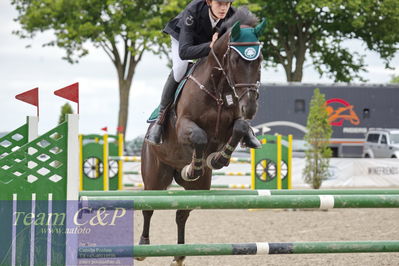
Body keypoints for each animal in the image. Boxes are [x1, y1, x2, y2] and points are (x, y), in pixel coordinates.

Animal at [138, 7, 266, 264]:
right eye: (235, 60)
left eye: (259, 60)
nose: (250, 107)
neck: (218, 88)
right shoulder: (184, 125)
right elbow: (199, 137)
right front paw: (194, 166)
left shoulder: (234, 123)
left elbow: (240, 128)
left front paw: (217, 159)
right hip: (155, 177)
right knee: (148, 207)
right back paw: (143, 246)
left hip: (200, 189)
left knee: (182, 213)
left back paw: (179, 254)